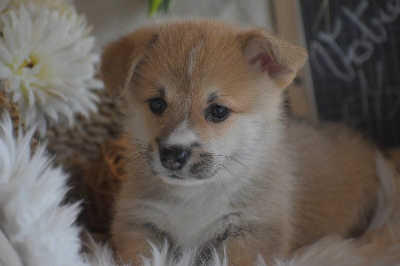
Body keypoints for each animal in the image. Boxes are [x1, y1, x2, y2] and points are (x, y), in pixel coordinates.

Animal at [100, 19, 378, 266]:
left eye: (219, 111)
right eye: (157, 104)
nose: (172, 154)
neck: (195, 195)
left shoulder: (252, 230)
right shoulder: (139, 224)